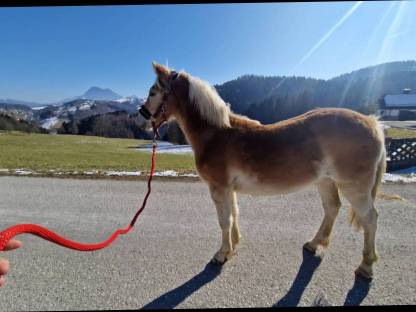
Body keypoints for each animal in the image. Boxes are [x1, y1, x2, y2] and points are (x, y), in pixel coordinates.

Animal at [136, 61, 386, 280]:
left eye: (153, 92)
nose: (142, 121)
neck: (216, 134)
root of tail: (373, 124)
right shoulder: (228, 189)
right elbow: (234, 214)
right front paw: (233, 246)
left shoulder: (219, 187)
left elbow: (224, 220)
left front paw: (221, 254)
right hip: (325, 181)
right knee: (332, 208)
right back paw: (314, 244)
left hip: (354, 186)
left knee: (370, 219)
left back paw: (365, 267)